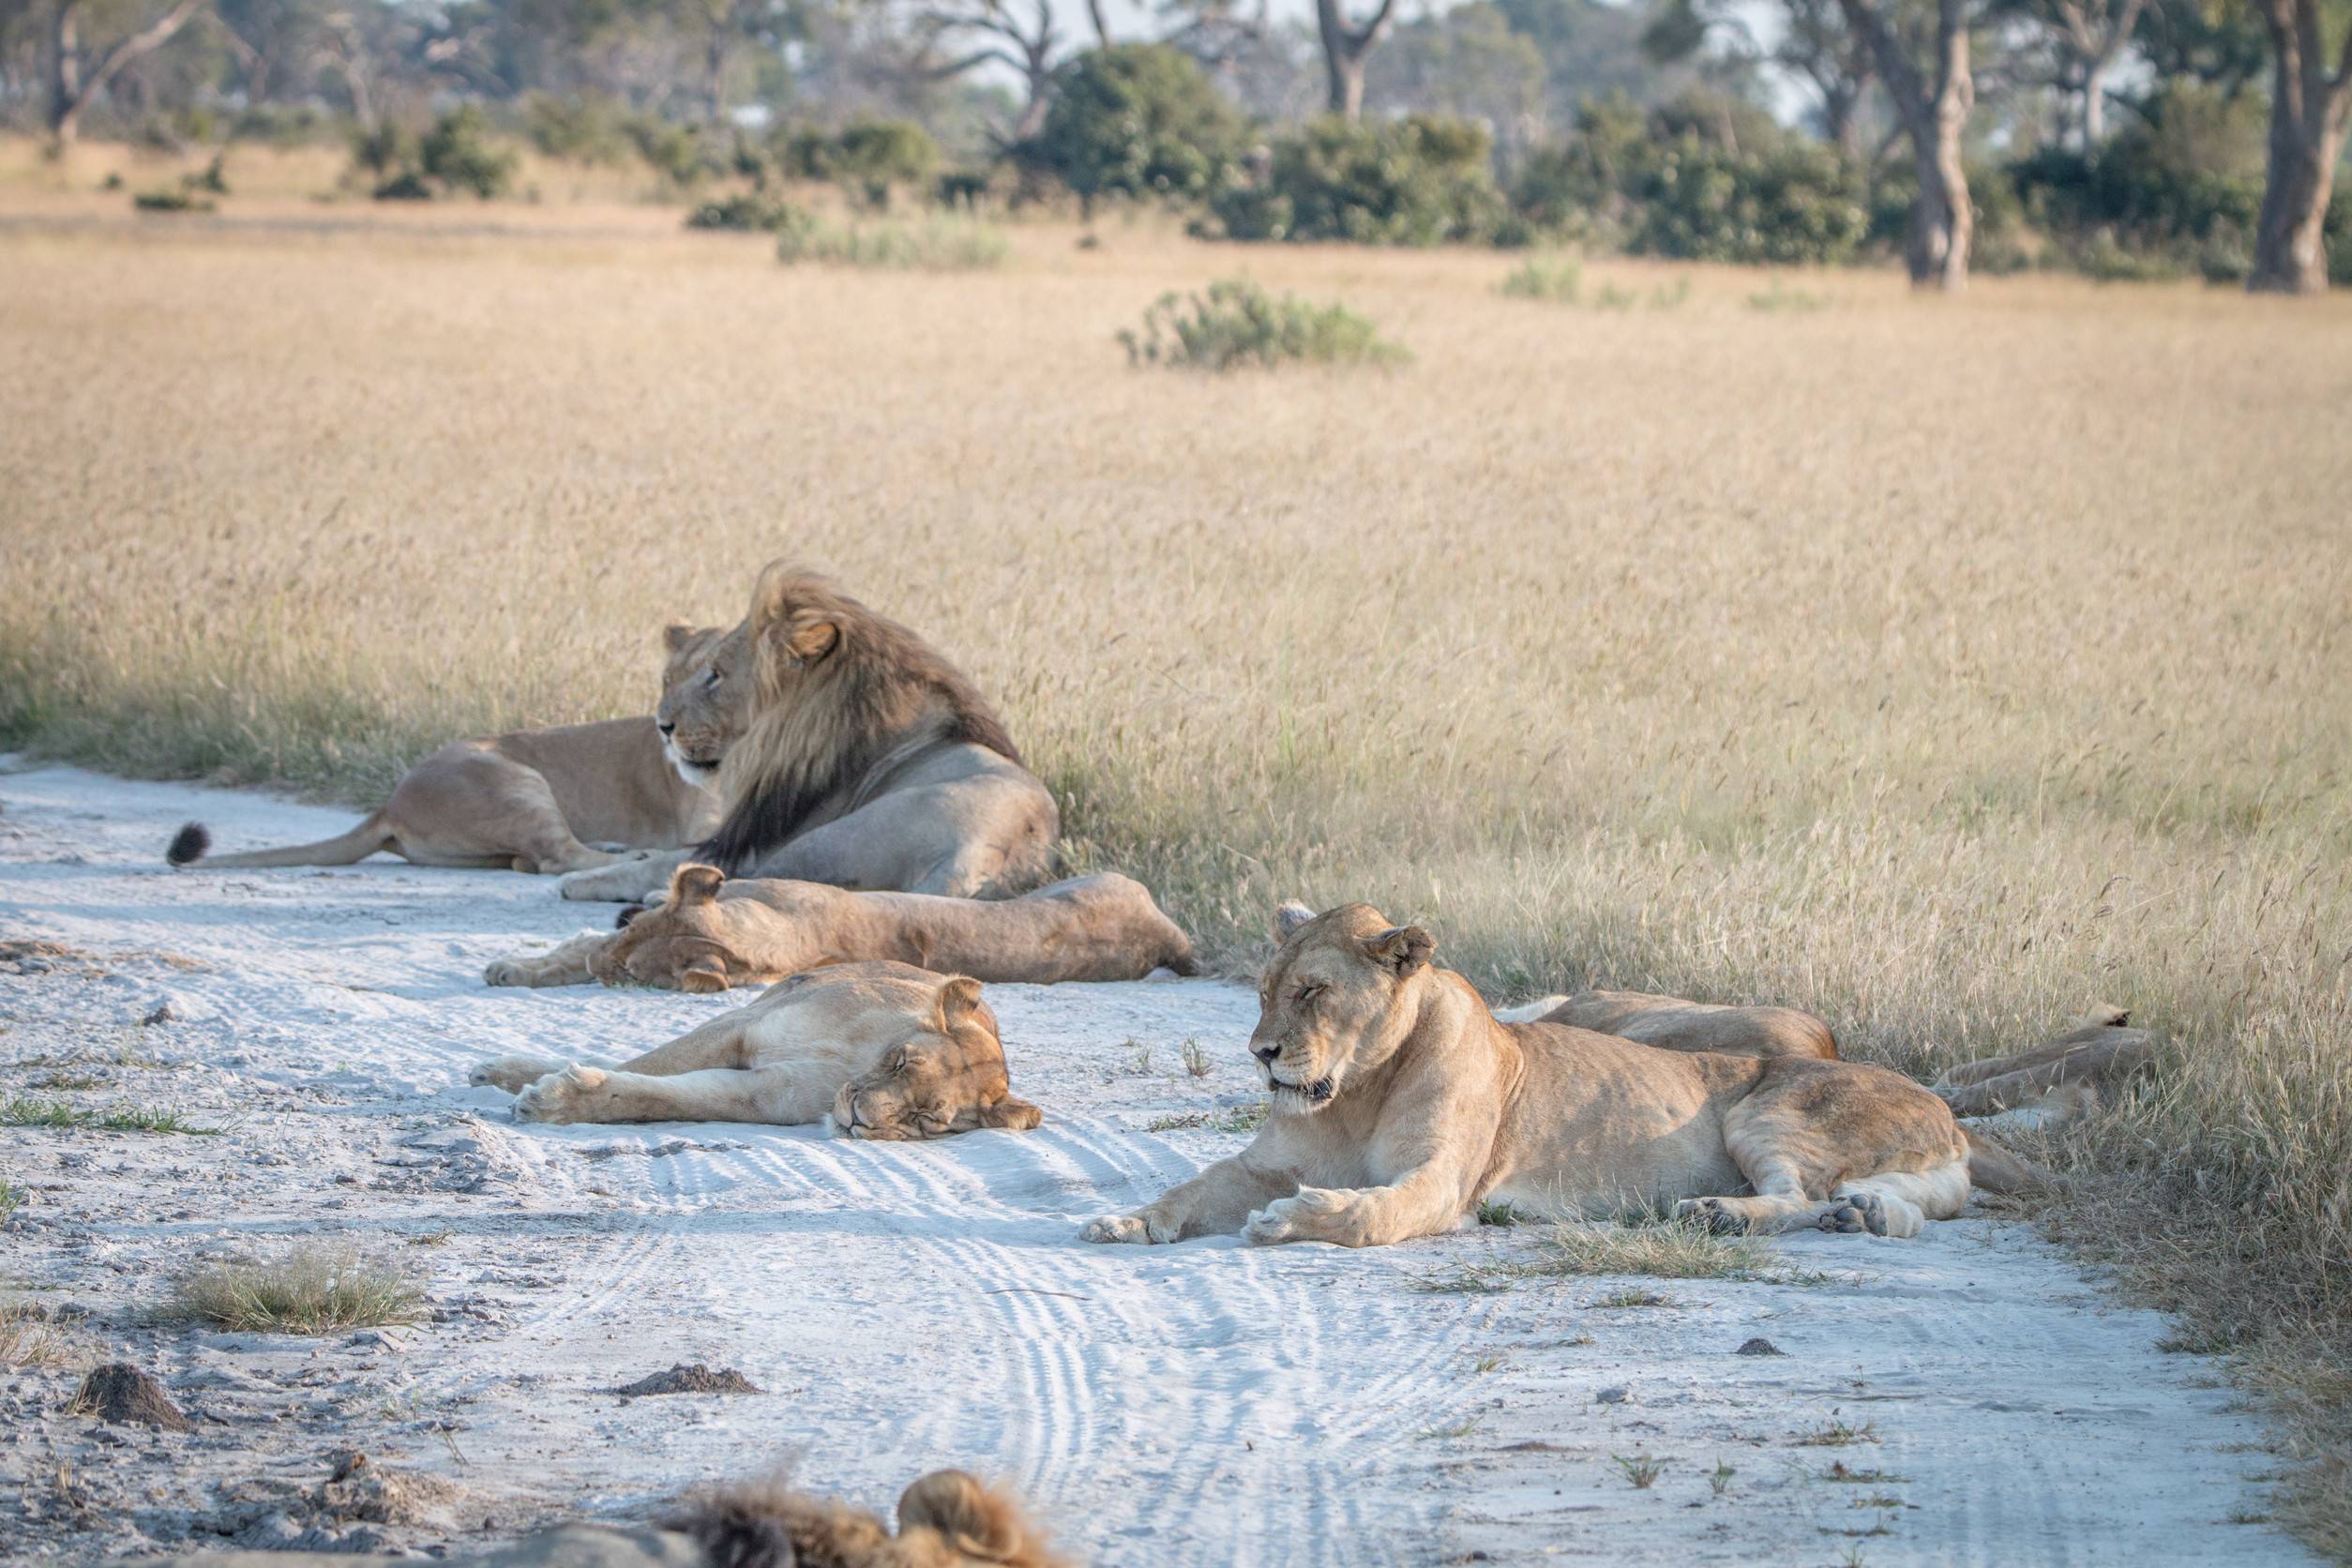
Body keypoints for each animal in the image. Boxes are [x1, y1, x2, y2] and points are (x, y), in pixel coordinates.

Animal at [163, 623, 743, 876]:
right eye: (666, 682)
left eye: (710, 679)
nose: (664, 725)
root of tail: (390, 802)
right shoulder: (701, 823)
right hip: (517, 784)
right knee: (559, 858)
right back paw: (634, 854)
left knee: (532, 860)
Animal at [469, 960, 1043, 1139]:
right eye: (901, 1061)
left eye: (926, 1119)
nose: (858, 1117)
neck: (854, 1059)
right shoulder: (744, 1028)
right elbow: (649, 1065)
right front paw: (542, 1093)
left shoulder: (765, 1094)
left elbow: (660, 1096)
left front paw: (556, 1101)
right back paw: (498, 1069)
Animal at [556, 565, 1058, 905]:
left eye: (715, 675)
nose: (663, 727)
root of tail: (983, 854)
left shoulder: (753, 841)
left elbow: (667, 858)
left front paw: (581, 880)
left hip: (824, 840)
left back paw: (661, 898)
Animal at [1081, 901, 2036, 1249]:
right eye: (1265, 991)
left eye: (1313, 991)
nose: (1262, 1053)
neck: (1356, 1090)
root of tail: (1945, 1110)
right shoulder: (1260, 1164)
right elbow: (1193, 1189)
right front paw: (1127, 1222)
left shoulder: (1442, 1182)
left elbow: (1369, 1211)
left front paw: (1294, 1220)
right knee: (1901, 1207)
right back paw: (1864, 1213)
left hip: (1766, 1112)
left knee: (1797, 1196)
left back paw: (1722, 1213)